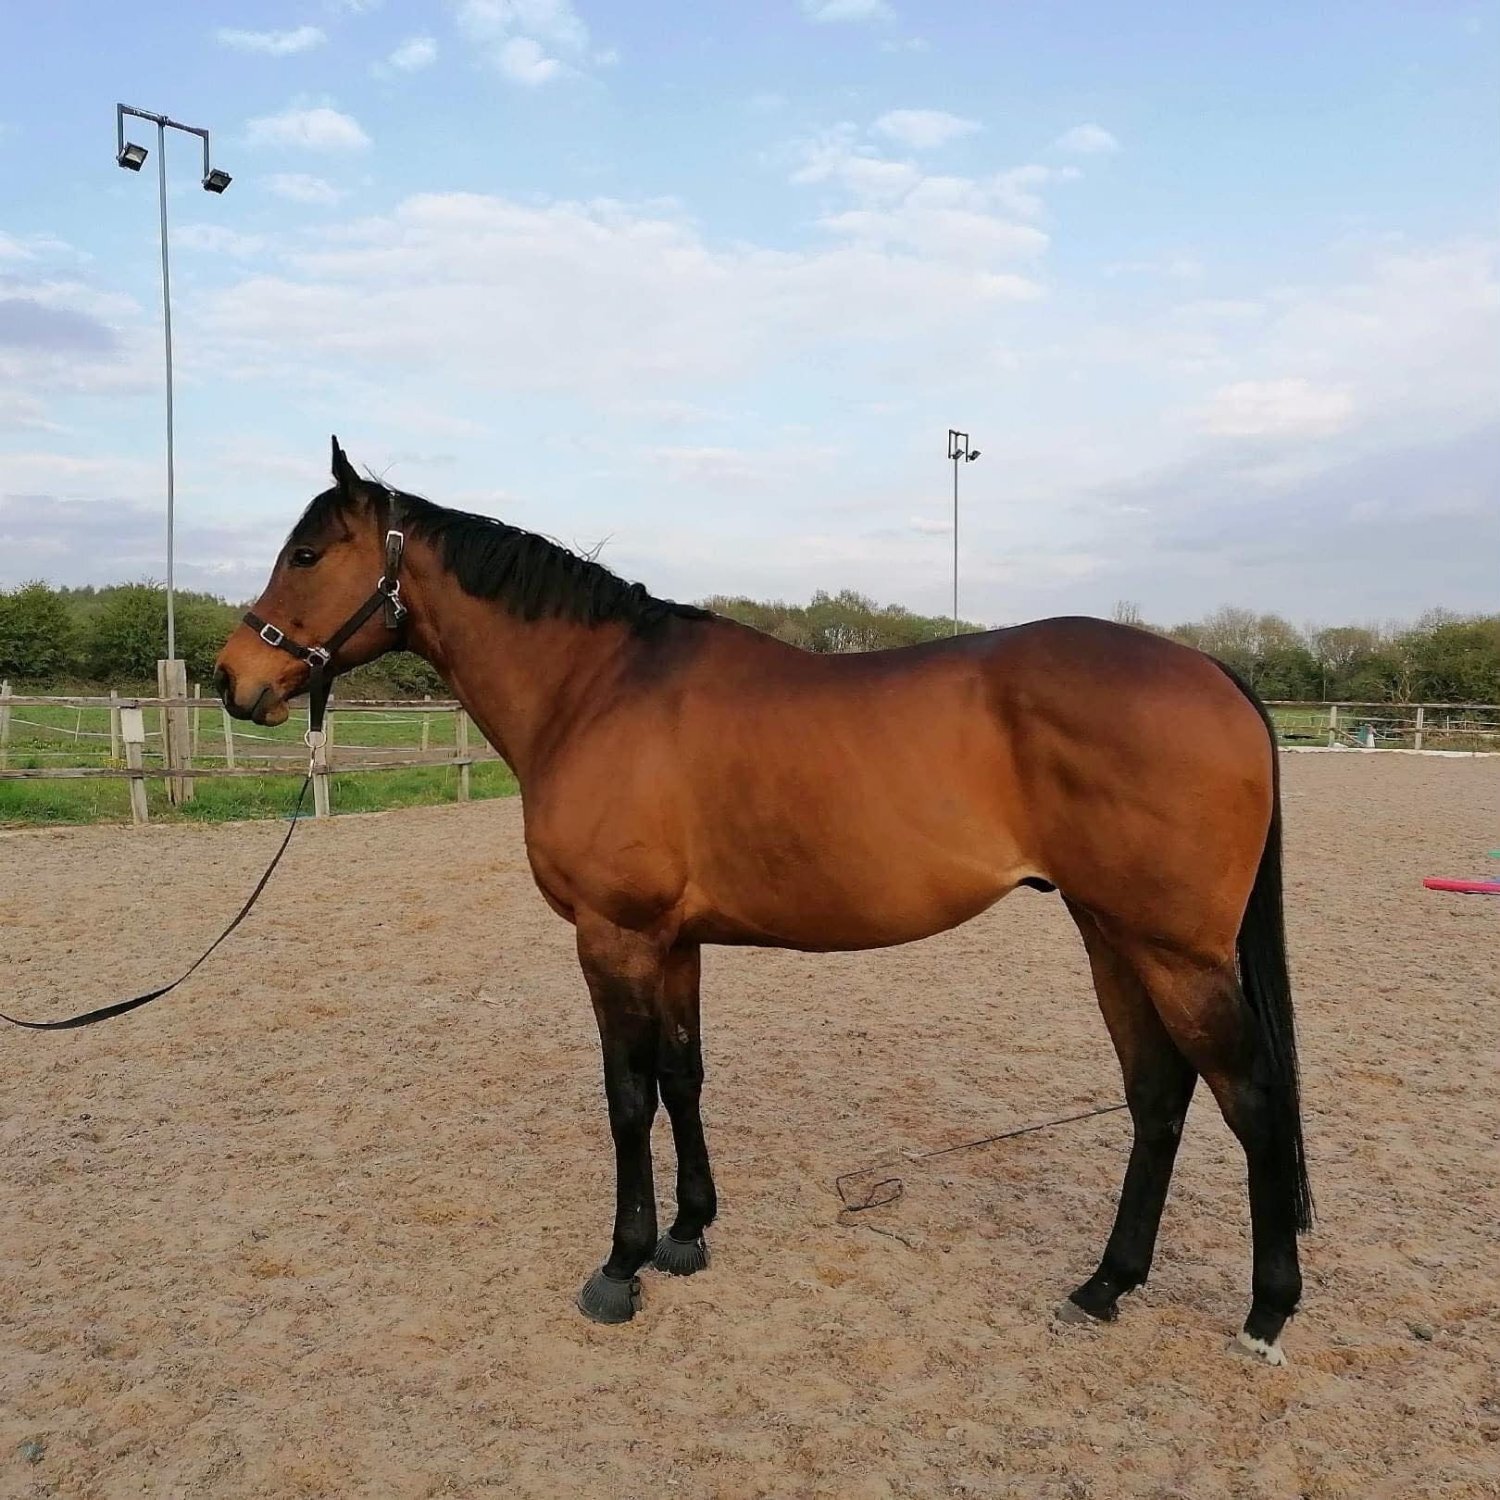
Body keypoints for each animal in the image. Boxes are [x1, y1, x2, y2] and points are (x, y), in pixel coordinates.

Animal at [214, 438, 1313, 1364]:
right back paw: (1105, 1285)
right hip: (1112, 936)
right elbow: (683, 1076)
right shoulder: (673, 942)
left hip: (1175, 952)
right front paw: (688, 1233)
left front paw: (620, 1266)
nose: (234, 677)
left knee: (1252, 1099)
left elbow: (626, 1096)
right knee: (1159, 1095)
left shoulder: (614, 938)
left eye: (306, 553)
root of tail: (1212, 671)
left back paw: (1265, 1314)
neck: (596, 689)